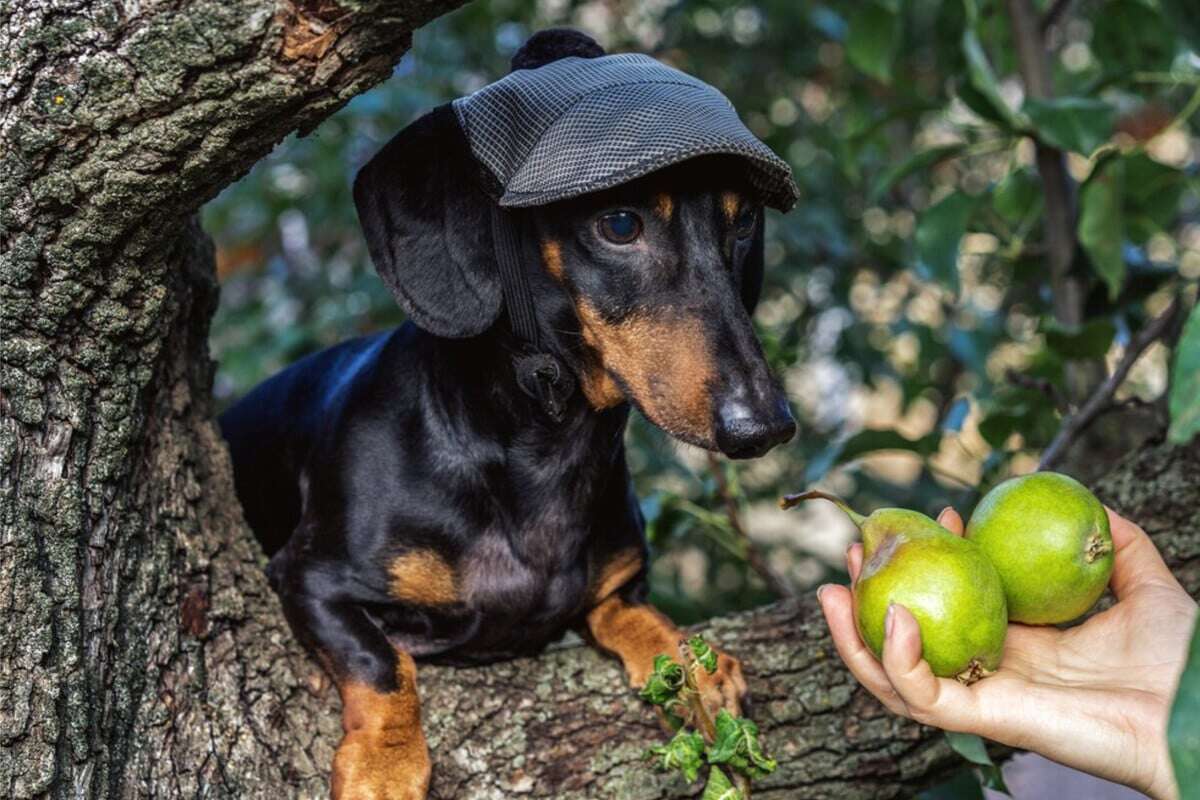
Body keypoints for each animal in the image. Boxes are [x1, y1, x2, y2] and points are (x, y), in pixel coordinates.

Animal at [218, 28, 796, 796]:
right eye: (620, 222)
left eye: (744, 220)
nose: (767, 424)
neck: (543, 451)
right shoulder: (308, 577)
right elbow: (381, 663)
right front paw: (384, 765)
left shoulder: (616, 586)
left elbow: (639, 614)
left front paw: (697, 671)